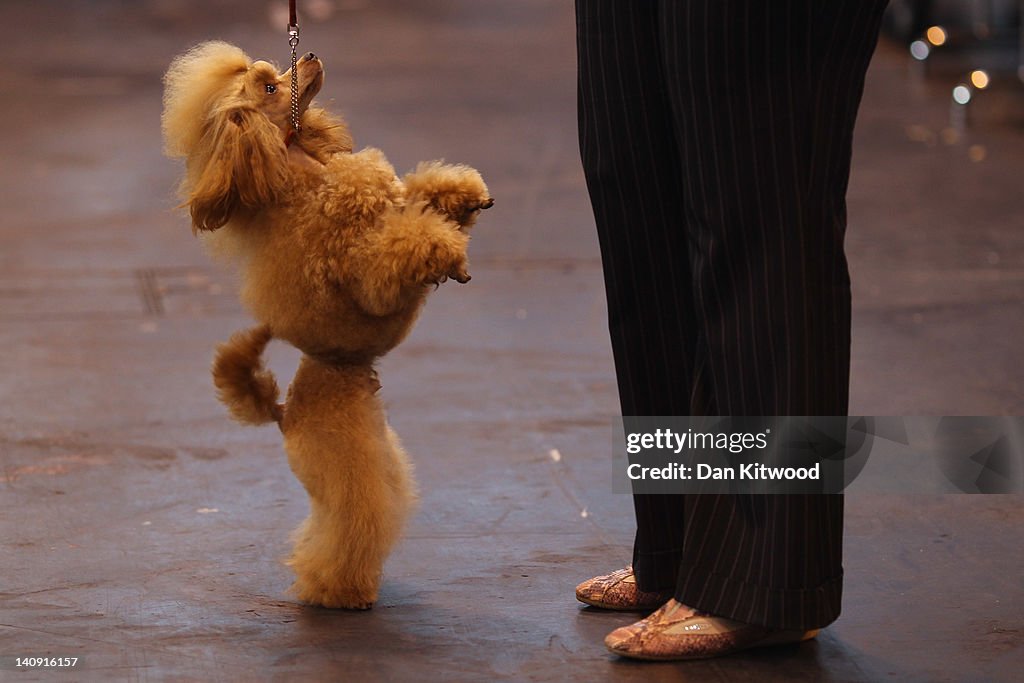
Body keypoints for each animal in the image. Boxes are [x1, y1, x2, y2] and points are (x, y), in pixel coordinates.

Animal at [161, 41, 493, 610]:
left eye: (274, 72)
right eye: (270, 87)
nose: (310, 53)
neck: (298, 169)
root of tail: (282, 414)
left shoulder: (392, 198)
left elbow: (416, 194)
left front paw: (464, 197)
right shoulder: (367, 269)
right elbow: (398, 250)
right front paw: (445, 252)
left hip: (380, 455)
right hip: (346, 464)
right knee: (349, 527)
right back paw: (339, 590)